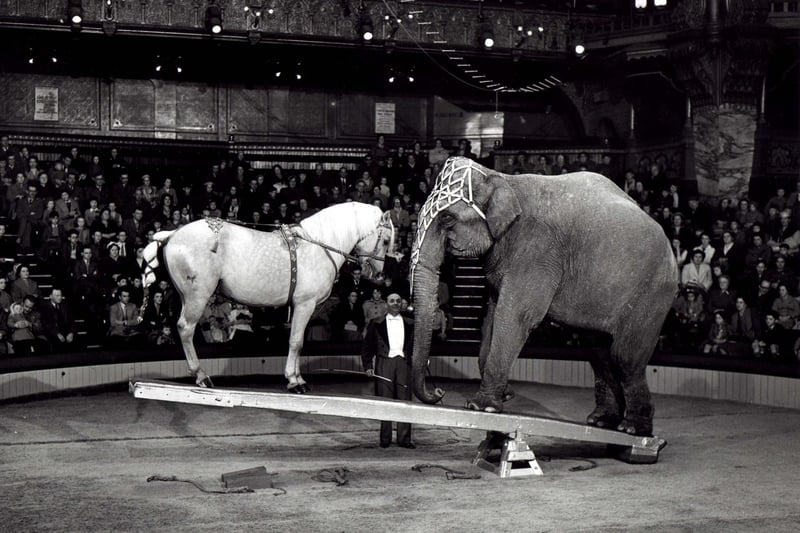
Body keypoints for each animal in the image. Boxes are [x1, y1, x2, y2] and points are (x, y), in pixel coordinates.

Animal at [144, 202, 396, 392]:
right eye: (385, 240)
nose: (378, 274)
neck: (319, 246)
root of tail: (174, 234)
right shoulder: (305, 305)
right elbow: (296, 342)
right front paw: (294, 381)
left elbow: (298, 342)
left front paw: (298, 377)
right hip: (198, 297)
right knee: (186, 329)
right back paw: (201, 376)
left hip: (185, 297)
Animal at [410, 155, 680, 436]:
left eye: (447, 219)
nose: (439, 392)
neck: (503, 179)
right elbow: (492, 315)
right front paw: (502, 395)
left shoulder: (538, 249)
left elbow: (515, 315)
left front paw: (481, 407)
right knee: (599, 352)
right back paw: (602, 421)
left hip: (653, 293)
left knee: (623, 356)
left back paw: (633, 429)